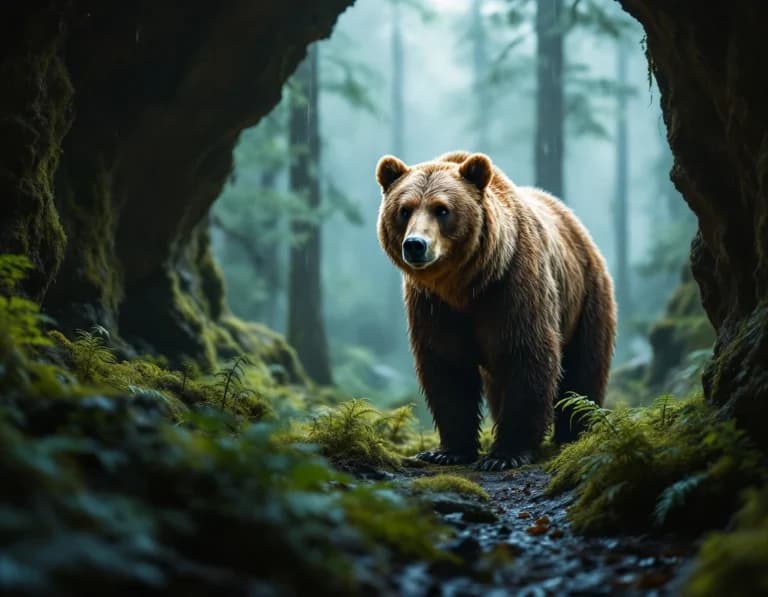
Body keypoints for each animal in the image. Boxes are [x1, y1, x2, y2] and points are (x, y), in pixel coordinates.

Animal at [375, 151, 616, 470]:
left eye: (442, 209)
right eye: (404, 210)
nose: (415, 245)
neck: (464, 286)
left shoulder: (511, 288)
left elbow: (528, 356)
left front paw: (505, 454)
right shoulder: (433, 306)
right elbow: (446, 367)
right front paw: (447, 450)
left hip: (586, 297)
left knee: (584, 369)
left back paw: (573, 434)